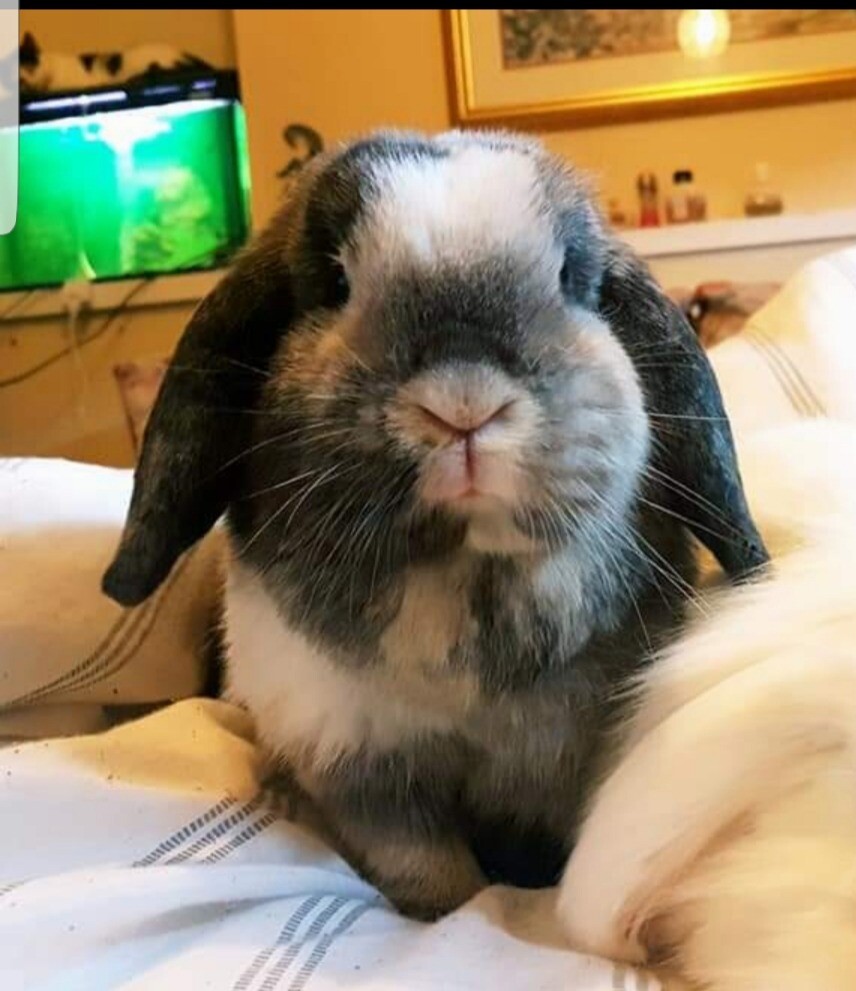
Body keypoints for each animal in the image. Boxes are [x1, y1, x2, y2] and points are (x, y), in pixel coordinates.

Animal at [101, 128, 767, 922]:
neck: (465, 592)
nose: (463, 405)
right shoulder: (366, 778)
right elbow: (432, 874)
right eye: (332, 282)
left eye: (573, 277)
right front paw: (450, 911)